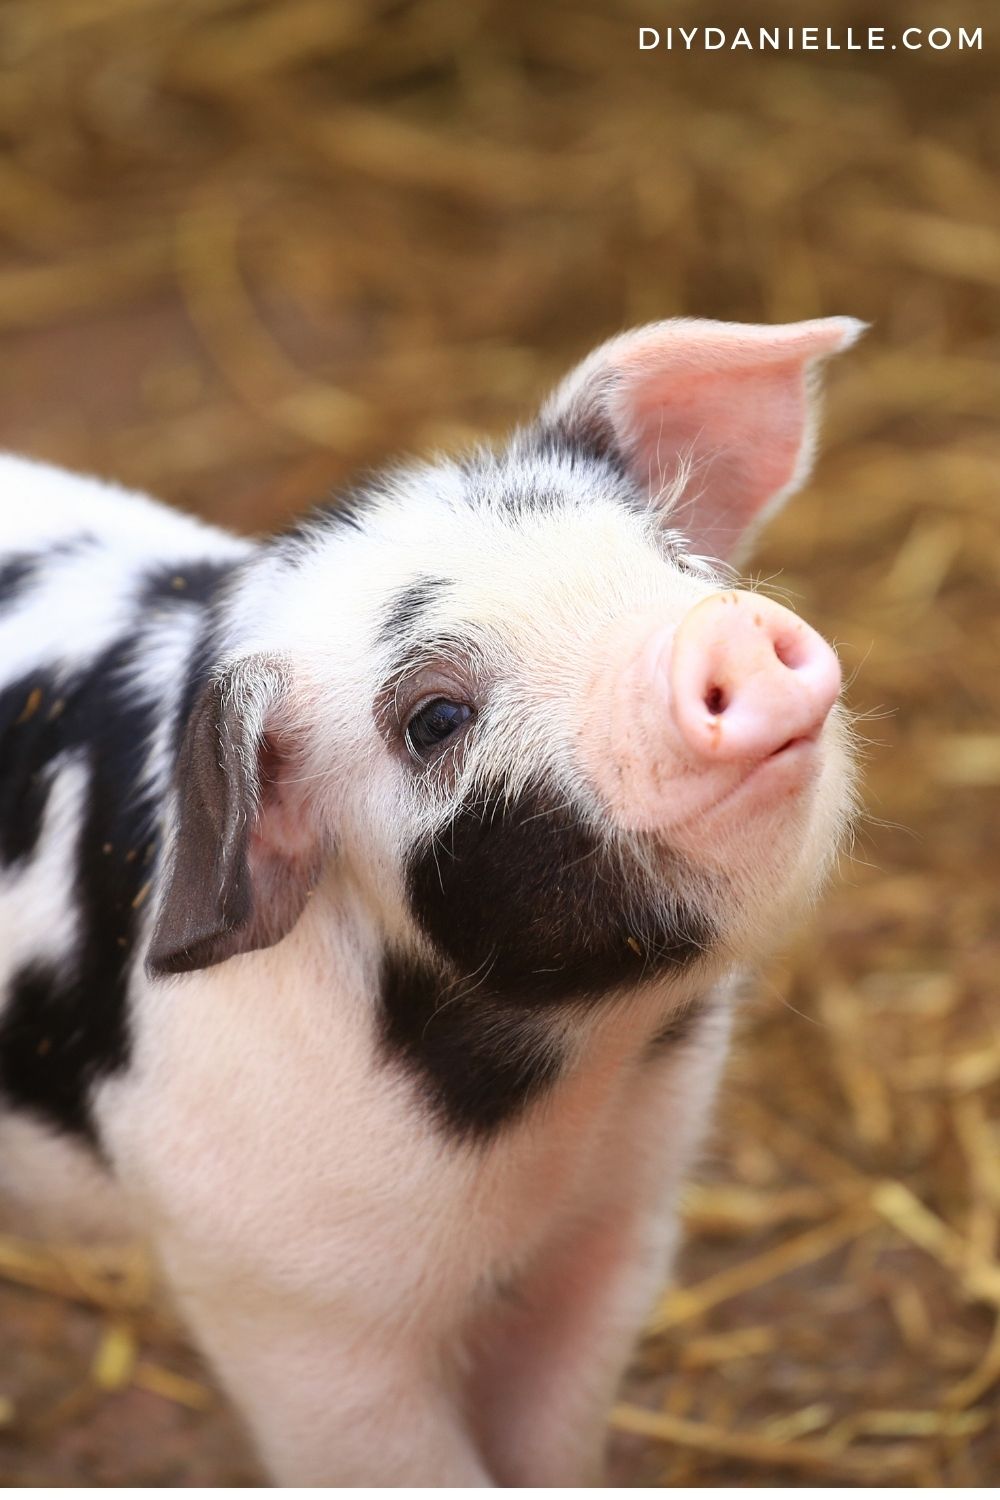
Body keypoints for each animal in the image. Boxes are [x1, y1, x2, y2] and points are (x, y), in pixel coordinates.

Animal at [0, 317, 862, 1485]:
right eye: (435, 719)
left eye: (672, 563)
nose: (716, 629)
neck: (561, 1102)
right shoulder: (286, 1296)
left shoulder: (617, 1228)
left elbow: (554, 1442)